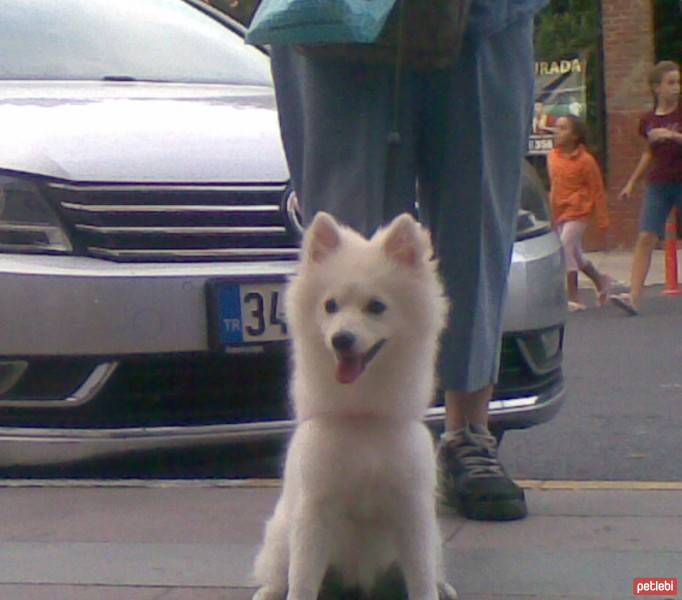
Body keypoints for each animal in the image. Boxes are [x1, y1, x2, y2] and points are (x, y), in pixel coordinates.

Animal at [250, 213, 452, 600]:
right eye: (330, 306)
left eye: (376, 306)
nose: (340, 339)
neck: (362, 418)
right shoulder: (314, 511)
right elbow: (301, 581)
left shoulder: (413, 511)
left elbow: (420, 578)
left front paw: (431, 589)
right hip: (282, 536)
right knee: (277, 575)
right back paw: (267, 592)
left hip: (432, 539)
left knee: (432, 568)